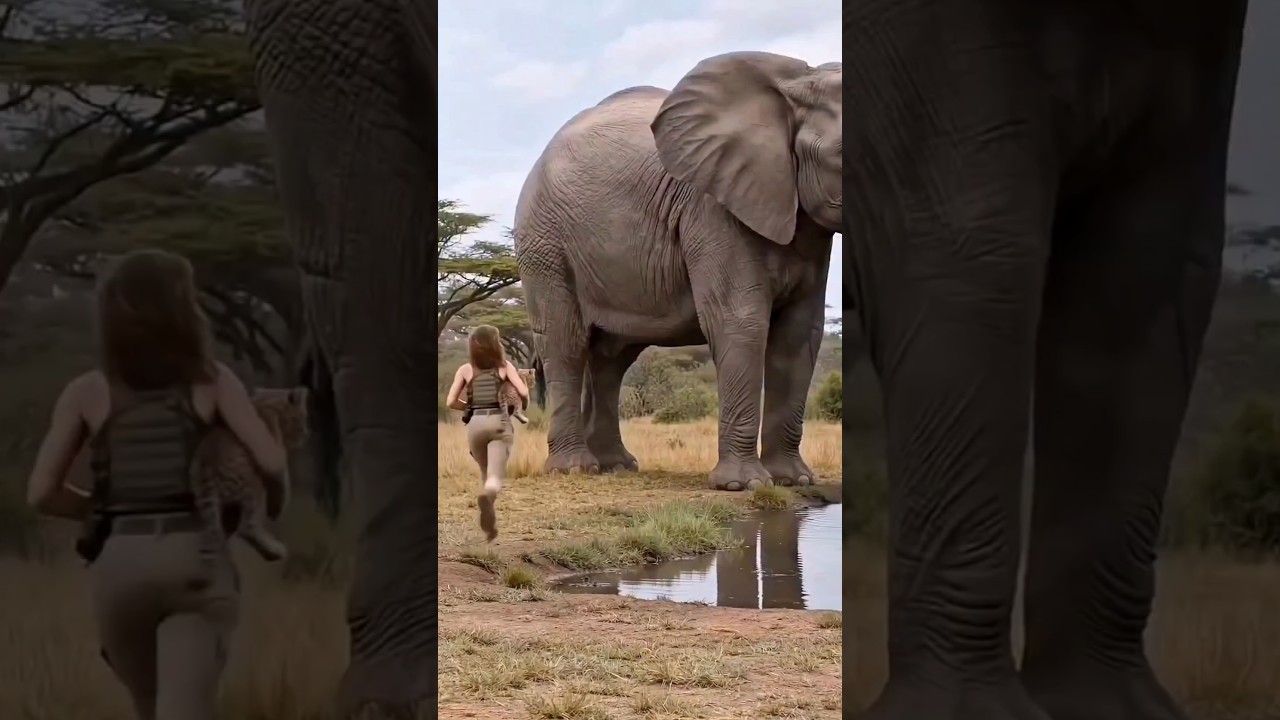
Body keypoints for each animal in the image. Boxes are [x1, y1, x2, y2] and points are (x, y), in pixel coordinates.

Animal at [514, 52, 841, 490]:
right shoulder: (712, 208)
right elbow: (740, 320)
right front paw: (744, 486)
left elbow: (799, 334)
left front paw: (794, 481)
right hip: (544, 241)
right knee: (565, 342)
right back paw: (576, 469)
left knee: (611, 357)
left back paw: (616, 465)